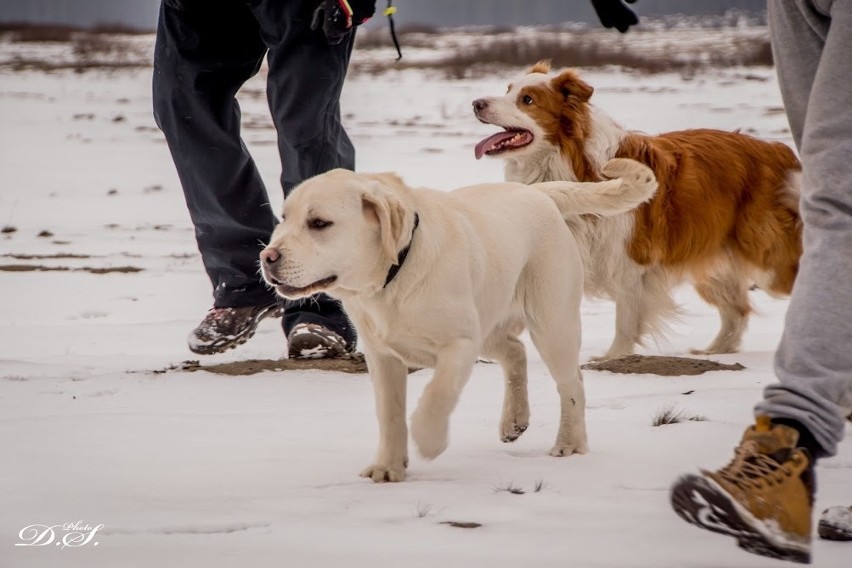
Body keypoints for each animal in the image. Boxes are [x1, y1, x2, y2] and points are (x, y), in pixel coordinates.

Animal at [262, 158, 660, 482]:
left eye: (319, 223)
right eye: (284, 219)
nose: (267, 257)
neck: (396, 274)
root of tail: (538, 193)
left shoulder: (460, 344)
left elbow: (437, 394)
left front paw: (428, 439)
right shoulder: (383, 356)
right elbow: (389, 414)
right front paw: (388, 467)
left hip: (552, 323)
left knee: (571, 383)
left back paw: (570, 444)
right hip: (491, 320)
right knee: (515, 352)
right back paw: (514, 420)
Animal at [472, 62, 800, 360]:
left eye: (527, 100)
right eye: (508, 89)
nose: (476, 103)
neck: (567, 162)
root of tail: (779, 151)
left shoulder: (630, 261)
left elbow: (626, 319)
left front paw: (612, 358)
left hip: (767, 258)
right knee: (737, 310)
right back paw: (716, 350)